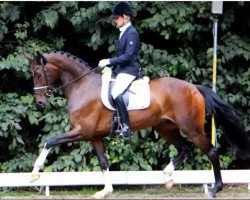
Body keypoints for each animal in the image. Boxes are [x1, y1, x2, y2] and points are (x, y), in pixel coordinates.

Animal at [26, 51, 249, 198]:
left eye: (38, 73)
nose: (40, 103)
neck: (82, 86)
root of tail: (193, 87)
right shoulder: (94, 136)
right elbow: (104, 163)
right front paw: (105, 191)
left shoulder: (81, 131)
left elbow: (50, 141)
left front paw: (35, 174)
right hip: (165, 128)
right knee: (184, 148)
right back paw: (167, 177)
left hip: (191, 128)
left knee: (211, 151)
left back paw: (214, 188)